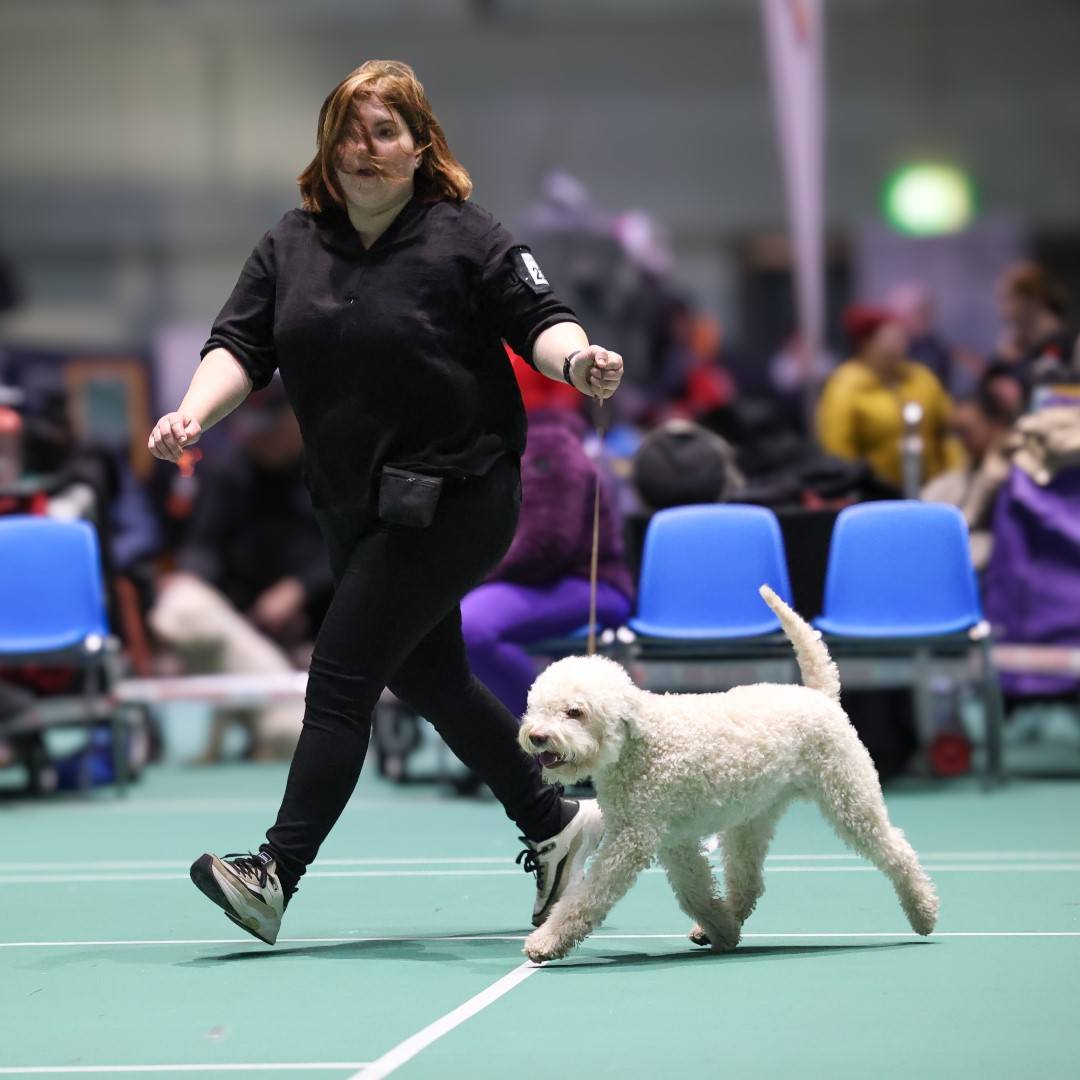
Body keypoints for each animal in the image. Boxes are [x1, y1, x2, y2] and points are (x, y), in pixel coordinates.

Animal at [518, 586, 939, 963]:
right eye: (536, 706)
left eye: (575, 712)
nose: (536, 737)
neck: (640, 743)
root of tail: (820, 695)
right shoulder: (673, 842)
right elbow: (695, 891)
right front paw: (722, 929)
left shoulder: (631, 841)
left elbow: (588, 895)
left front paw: (546, 941)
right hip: (750, 820)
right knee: (749, 881)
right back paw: (719, 925)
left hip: (849, 798)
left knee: (897, 850)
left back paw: (923, 911)